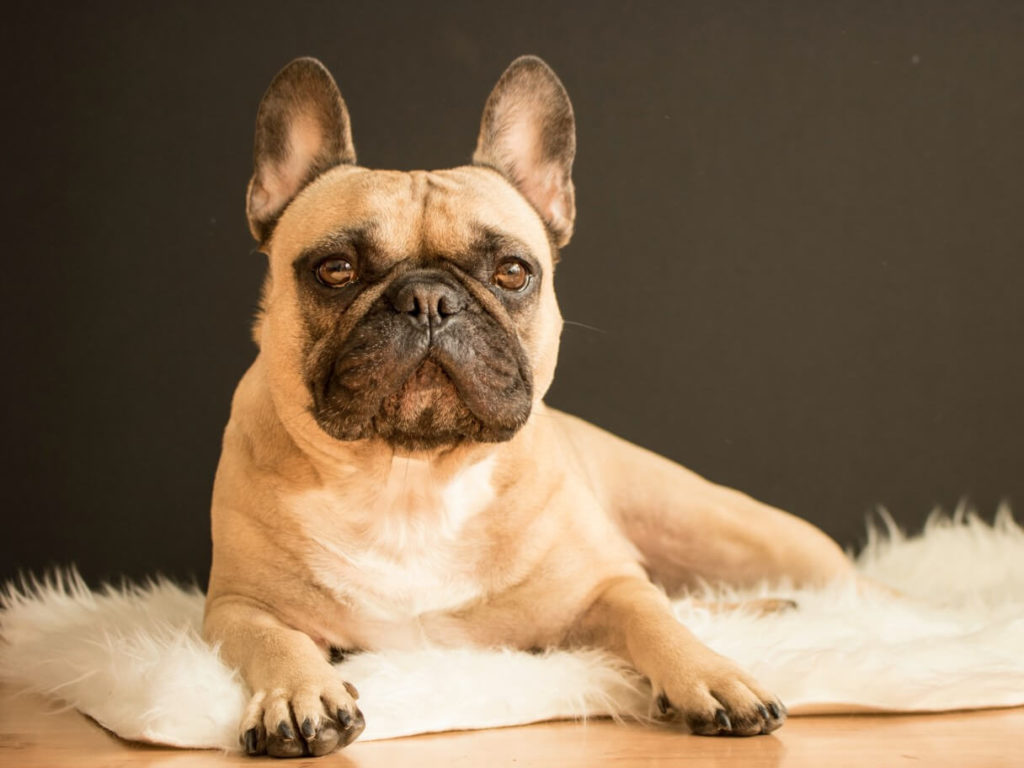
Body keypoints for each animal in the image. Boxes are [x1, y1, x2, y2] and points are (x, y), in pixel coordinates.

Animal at [201, 54, 856, 757]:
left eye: (513, 272)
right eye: (335, 270)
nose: (428, 300)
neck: (410, 479)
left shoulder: (606, 586)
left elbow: (652, 617)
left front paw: (709, 673)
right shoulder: (235, 604)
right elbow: (273, 637)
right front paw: (299, 693)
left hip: (734, 530)